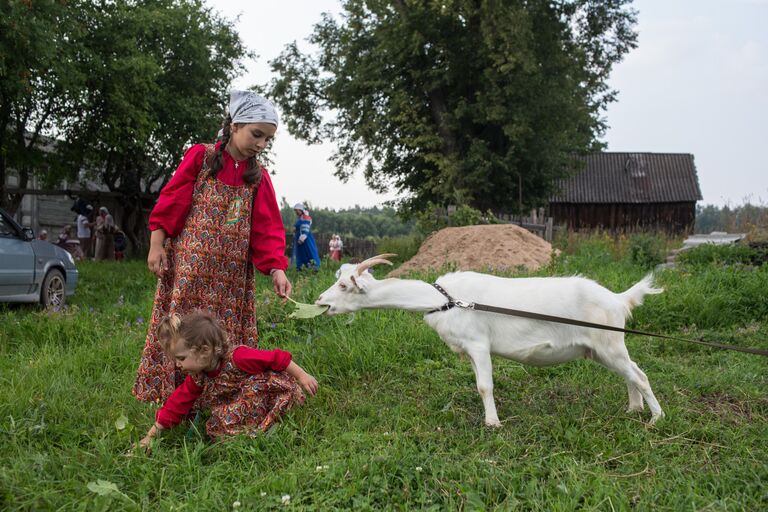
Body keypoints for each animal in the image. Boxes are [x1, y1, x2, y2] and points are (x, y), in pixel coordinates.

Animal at [316, 254, 664, 426]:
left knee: (641, 375)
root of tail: (618, 299)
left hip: (608, 343)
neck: (446, 299)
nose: (321, 301)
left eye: (345, 286)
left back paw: (656, 418)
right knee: (630, 372)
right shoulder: (470, 352)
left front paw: (493, 424)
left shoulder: (478, 344)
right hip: (603, 349)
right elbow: (479, 384)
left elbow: (485, 385)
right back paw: (633, 410)